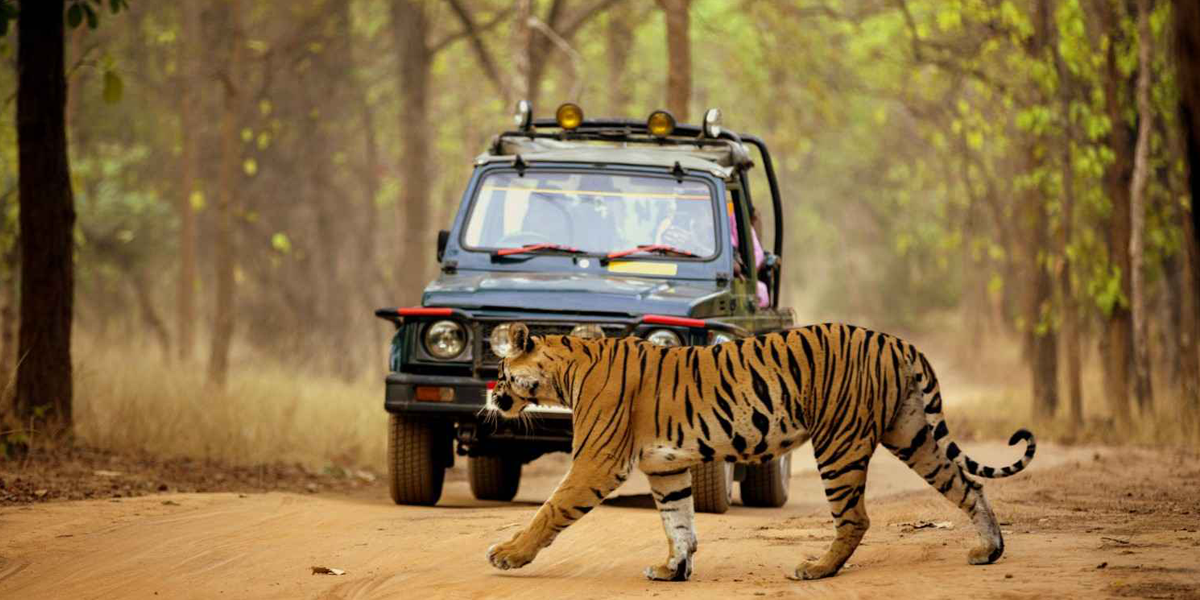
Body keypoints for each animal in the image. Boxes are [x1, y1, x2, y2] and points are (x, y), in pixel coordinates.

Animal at [484, 321, 1036, 581]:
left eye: (502, 372)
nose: (491, 395)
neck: (565, 372)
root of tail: (894, 341)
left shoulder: (597, 462)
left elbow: (550, 510)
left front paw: (508, 554)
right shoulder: (666, 469)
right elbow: (678, 523)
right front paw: (672, 570)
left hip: (839, 442)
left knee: (855, 517)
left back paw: (816, 569)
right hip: (912, 434)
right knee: (968, 485)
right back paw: (989, 551)